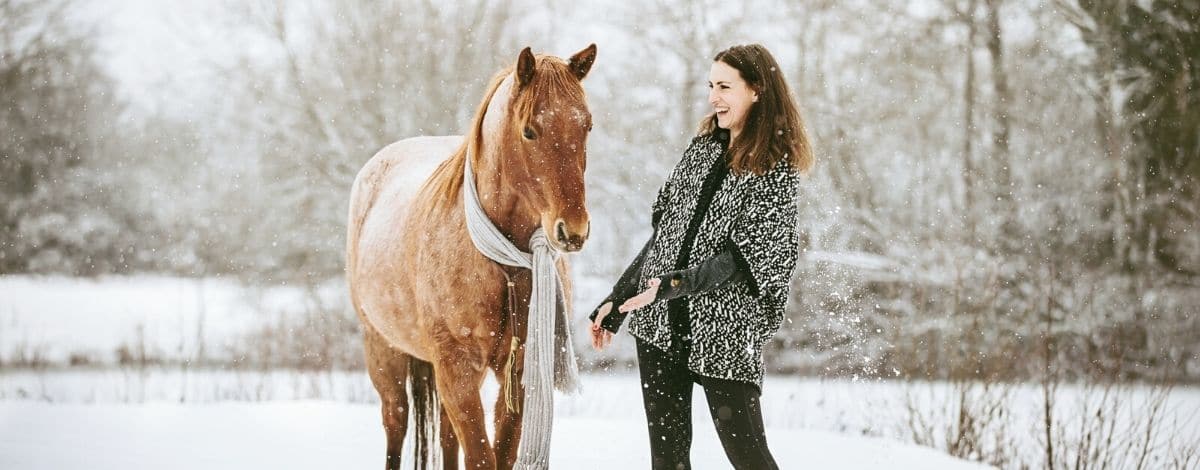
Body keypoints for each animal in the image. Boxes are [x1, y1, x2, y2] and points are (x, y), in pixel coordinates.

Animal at [343, 44, 595, 470]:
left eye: (586, 126)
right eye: (529, 130)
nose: (573, 231)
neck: (503, 263)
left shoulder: (517, 372)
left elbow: (498, 453)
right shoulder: (457, 368)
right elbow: (480, 456)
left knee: (446, 436)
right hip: (383, 350)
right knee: (395, 423)